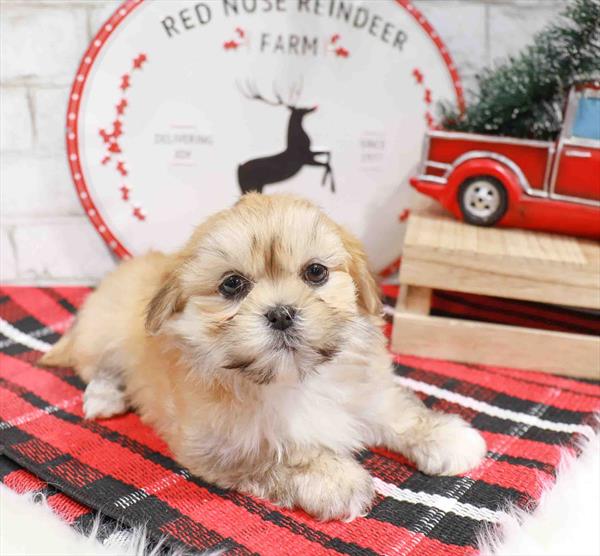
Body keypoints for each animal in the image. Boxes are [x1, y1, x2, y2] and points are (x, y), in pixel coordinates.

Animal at [39, 193, 486, 520]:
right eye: (232, 284)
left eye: (316, 272)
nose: (281, 313)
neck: (294, 377)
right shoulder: (222, 446)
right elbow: (283, 453)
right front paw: (336, 479)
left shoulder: (365, 390)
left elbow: (397, 410)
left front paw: (444, 435)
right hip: (104, 336)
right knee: (99, 370)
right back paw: (104, 397)